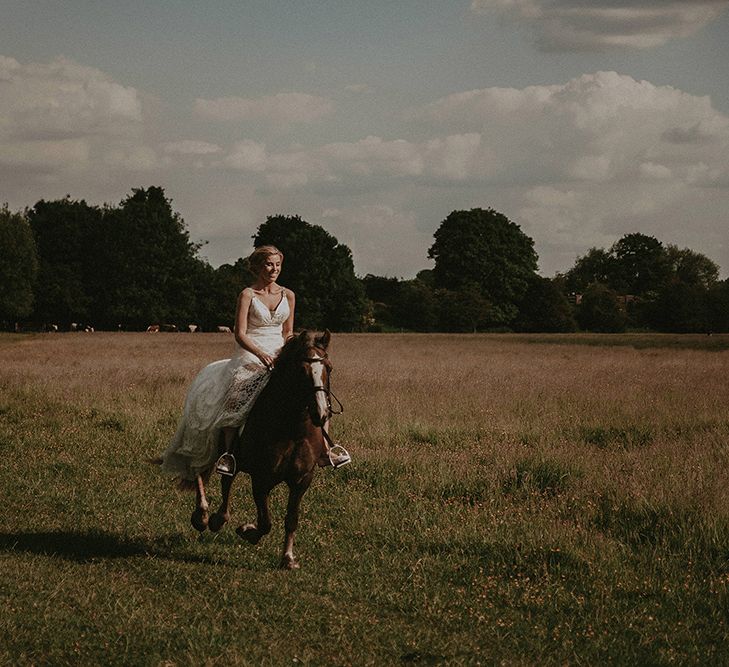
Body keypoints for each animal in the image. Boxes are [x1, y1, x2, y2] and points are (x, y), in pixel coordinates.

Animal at [189, 328, 334, 568]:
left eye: (329, 368)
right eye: (301, 370)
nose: (321, 413)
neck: (292, 429)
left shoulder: (302, 480)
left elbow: (291, 519)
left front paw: (288, 558)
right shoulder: (261, 479)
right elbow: (265, 522)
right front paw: (247, 531)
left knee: (227, 479)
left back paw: (218, 519)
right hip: (202, 440)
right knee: (198, 471)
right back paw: (202, 516)